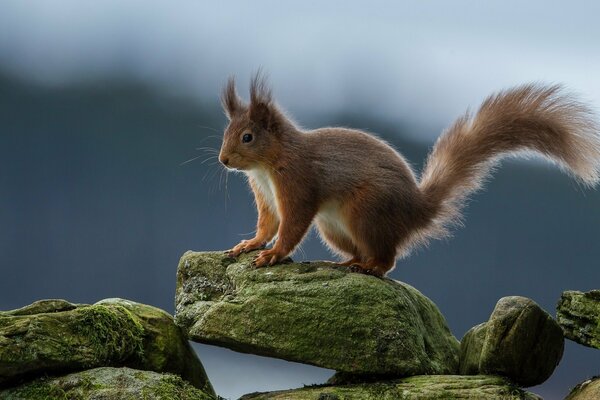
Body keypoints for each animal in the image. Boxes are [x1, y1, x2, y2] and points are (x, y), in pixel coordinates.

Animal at [219, 73, 600, 276]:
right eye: (226, 132)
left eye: (247, 137)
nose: (224, 160)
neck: (268, 165)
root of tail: (416, 210)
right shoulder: (266, 195)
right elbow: (268, 224)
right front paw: (251, 244)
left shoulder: (298, 183)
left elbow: (292, 225)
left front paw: (273, 254)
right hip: (334, 227)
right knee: (365, 252)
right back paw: (349, 262)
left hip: (365, 212)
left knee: (388, 259)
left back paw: (371, 267)